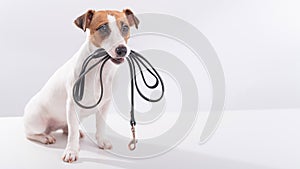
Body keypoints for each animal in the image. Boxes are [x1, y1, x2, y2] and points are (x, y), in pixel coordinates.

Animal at [23, 8, 139, 162]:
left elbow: (100, 125)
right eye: (103, 28)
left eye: (125, 27)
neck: (99, 70)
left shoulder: (105, 104)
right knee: (31, 133)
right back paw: (45, 137)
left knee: (68, 127)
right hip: (37, 121)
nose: (122, 50)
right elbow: (73, 135)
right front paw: (71, 151)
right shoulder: (72, 105)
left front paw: (102, 141)